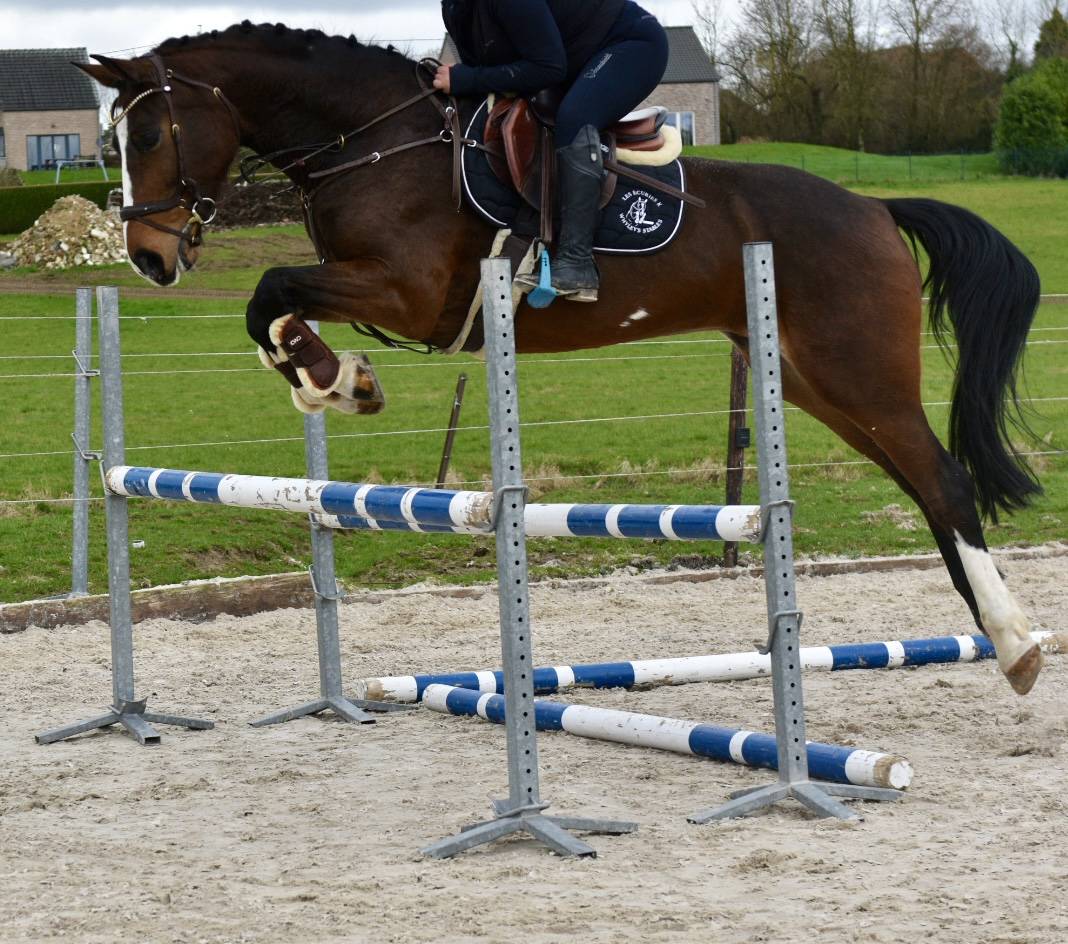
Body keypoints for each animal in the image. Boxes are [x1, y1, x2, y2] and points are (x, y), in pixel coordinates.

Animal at [77, 22, 1045, 695]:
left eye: (151, 135)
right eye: (110, 144)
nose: (148, 258)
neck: (369, 139)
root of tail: (875, 208)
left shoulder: (406, 293)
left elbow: (271, 287)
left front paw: (334, 378)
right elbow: (271, 305)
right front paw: (332, 378)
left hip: (858, 374)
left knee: (944, 480)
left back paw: (1016, 643)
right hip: (817, 385)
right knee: (925, 487)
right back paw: (997, 633)